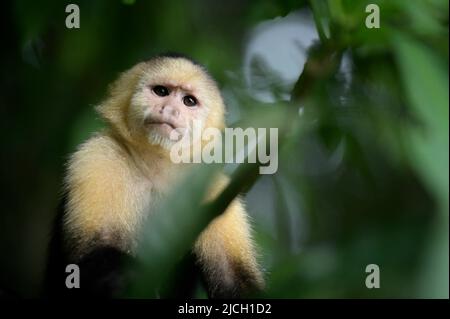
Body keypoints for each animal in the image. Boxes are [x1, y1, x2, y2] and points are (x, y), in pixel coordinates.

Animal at [44, 53, 264, 300]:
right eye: (161, 91)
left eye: (189, 101)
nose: (169, 109)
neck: (156, 168)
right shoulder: (98, 156)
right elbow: (93, 252)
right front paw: (128, 278)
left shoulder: (215, 189)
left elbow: (234, 280)